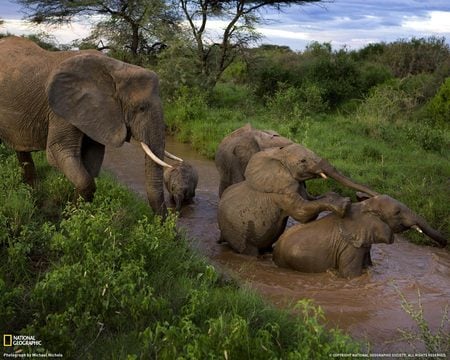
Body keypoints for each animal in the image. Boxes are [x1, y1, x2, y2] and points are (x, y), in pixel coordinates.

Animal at [0, 36, 177, 217]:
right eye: (140, 108)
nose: (166, 221)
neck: (116, 70)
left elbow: (91, 159)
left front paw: (75, 214)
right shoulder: (63, 109)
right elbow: (59, 152)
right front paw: (70, 217)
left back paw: (33, 194)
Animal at [218, 142, 380, 255]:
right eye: (303, 161)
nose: (362, 196)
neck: (279, 156)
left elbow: (311, 200)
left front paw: (334, 196)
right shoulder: (281, 192)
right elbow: (302, 212)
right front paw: (345, 204)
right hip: (236, 232)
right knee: (248, 251)